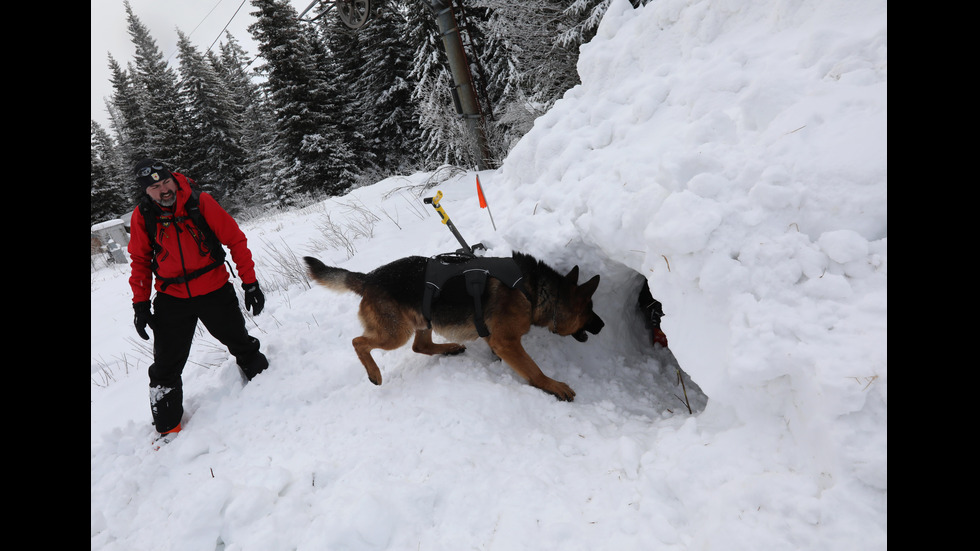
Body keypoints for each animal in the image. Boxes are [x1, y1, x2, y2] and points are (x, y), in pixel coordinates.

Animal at [302, 253, 604, 402]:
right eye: (589, 310)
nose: (602, 325)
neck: (534, 290)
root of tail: (369, 278)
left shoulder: (495, 338)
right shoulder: (506, 341)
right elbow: (533, 370)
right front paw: (553, 386)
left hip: (424, 319)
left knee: (420, 345)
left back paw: (450, 349)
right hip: (396, 333)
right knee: (358, 342)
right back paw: (374, 373)